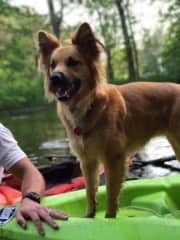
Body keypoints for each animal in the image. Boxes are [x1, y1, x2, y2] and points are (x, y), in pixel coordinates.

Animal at [37, 22, 180, 218]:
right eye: (52, 65)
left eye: (73, 62)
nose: (54, 78)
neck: (88, 105)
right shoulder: (88, 161)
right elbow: (90, 192)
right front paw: (89, 217)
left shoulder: (114, 159)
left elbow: (111, 195)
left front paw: (109, 219)